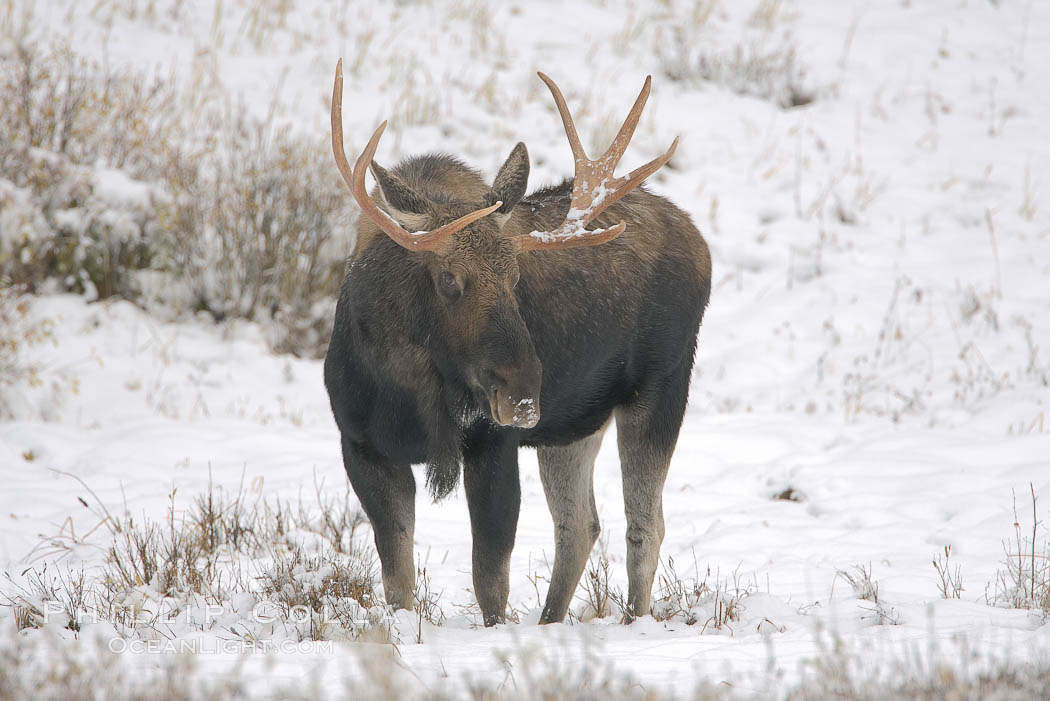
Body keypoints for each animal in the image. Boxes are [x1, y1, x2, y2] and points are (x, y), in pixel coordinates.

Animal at [323, 61, 709, 625]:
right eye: (448, 279)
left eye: (515, 276)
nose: (523, 388)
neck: (409, 389)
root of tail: (699, 240)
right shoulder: (362, 446)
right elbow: (398, 582)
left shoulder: (493, 444)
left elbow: (491, 582)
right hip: (572, 425)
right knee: (581, 526)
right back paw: (551, 621)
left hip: (661, 387)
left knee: (644, 525)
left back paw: (634, 622)